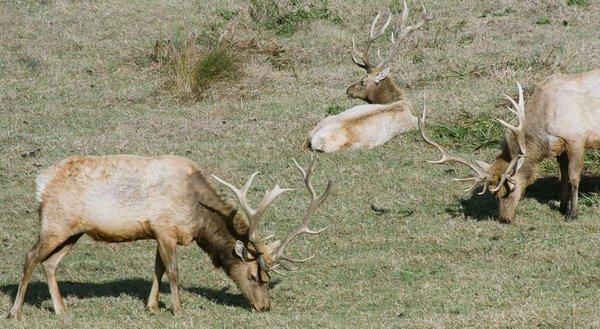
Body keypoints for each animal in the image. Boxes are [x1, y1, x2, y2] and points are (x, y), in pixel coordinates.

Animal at [7, 155, 330, 320]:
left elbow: (158, 268)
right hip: (56, 223)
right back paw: (15, 312)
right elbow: (173, 271)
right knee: (30, 256)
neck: (196, 214)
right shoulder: (164, 228)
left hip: (73, 231)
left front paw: (152, 306)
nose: (265, 307)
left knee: (50, 263)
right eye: (252, 276)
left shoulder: (159, 233)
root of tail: (40, 183)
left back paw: (61, 310)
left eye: (268, 278)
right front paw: (178, 310)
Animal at [304, 1, 432, 152]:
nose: (348, 90)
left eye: (362, 81)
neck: (399, 101)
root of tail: (314, 139)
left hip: (325, 119)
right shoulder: (417, 121)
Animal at [418, 69, 600, 223]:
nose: (504, 218)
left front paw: (572, 214)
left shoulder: (577, 138)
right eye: (495, 195)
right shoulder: (560, 145)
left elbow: (574, 178)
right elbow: (562, 175)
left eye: (510, 190)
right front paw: (562, 207)